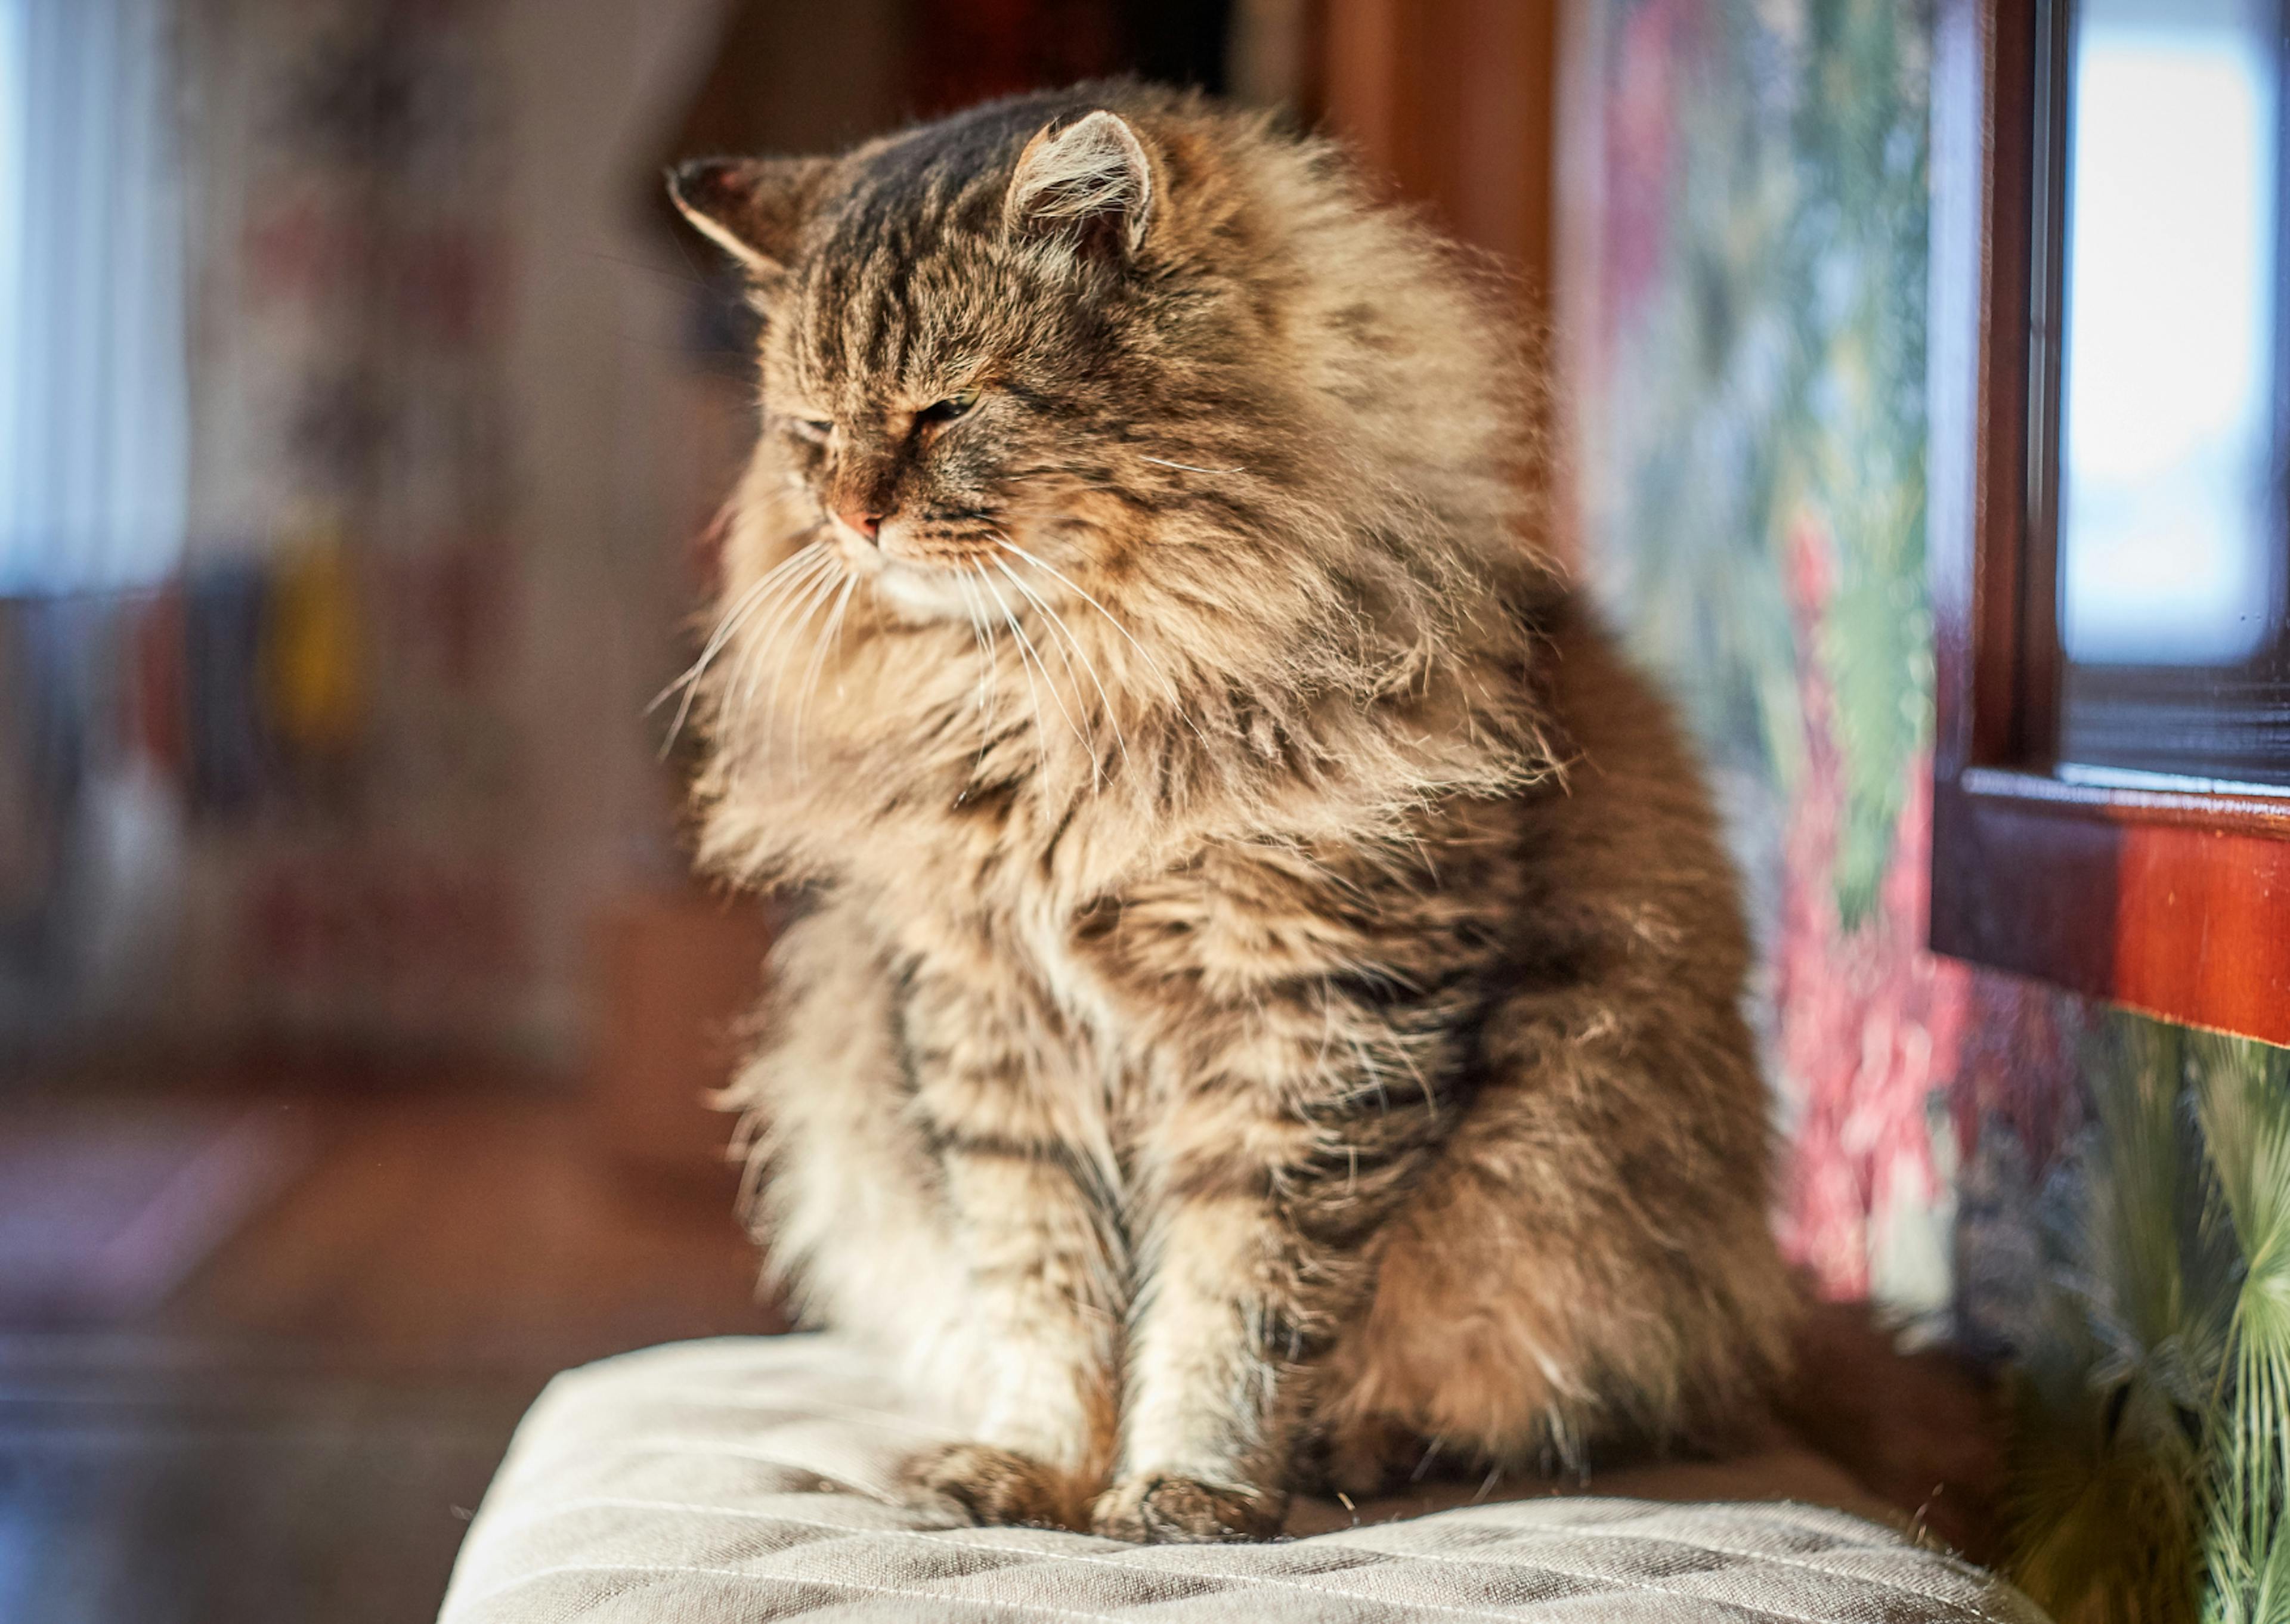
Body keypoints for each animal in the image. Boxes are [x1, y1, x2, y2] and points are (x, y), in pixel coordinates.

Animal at [669, 79, 1795, 1548]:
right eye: (811, 433)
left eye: (944, 411)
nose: (852, 518)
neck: (1061, 709)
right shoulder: (995, 1034)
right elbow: (1043, 1296)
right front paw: (1028, 1468)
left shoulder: (1311, 1027)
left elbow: (1235, 1303)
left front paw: (1186, 1487)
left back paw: (1356, 1450)